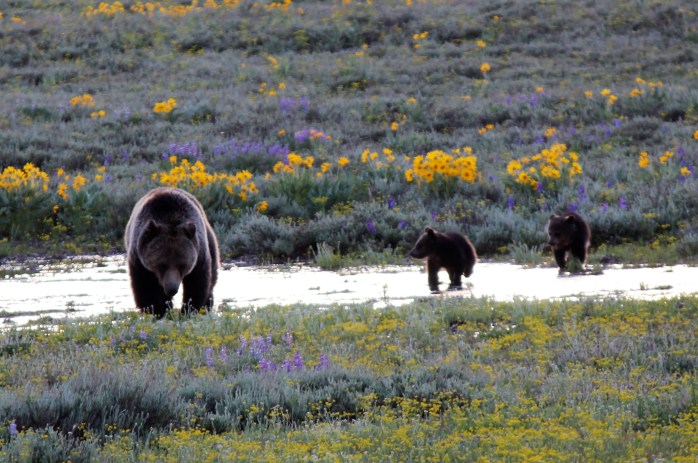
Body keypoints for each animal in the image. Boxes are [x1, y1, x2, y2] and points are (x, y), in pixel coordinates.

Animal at [124, 187, 220, 317]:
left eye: (182, 265)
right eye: (161, 265)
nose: (172, 289)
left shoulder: (199, 256)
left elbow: (197, 284)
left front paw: (189, 310)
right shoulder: (139, 260)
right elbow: (145, 286)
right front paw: (155, 311)